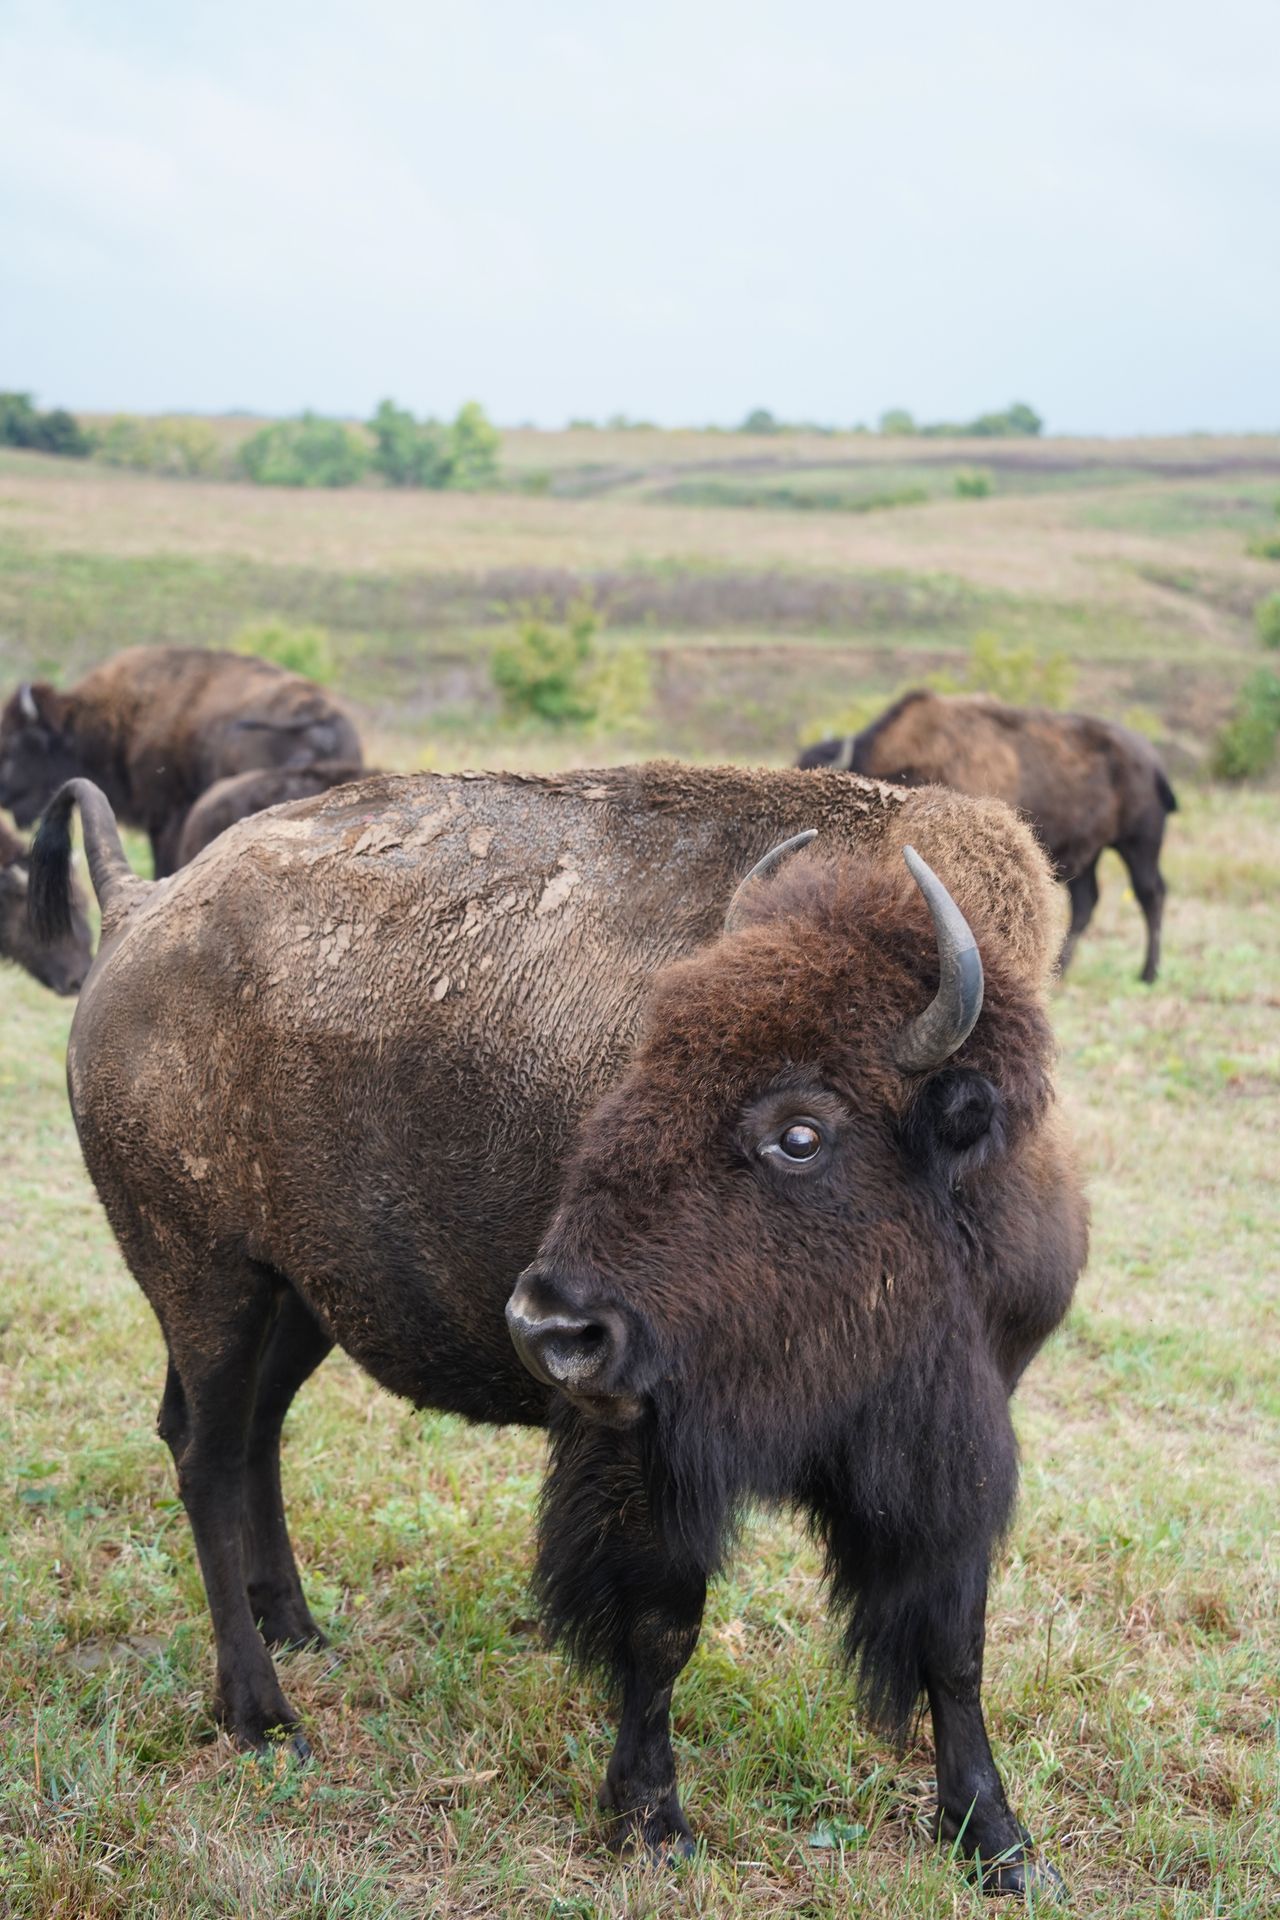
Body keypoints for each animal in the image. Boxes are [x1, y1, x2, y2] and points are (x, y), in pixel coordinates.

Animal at [30, 763, 1087, 1895]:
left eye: (800, 1133)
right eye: (642, 1068)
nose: (549, 1326)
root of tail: (139, 913)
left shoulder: (961, 1439)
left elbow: (955, 1641)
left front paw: (996, 1842)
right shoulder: (639, 1444)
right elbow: (662, 1625)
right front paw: (651, 1822)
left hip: (299, 1298)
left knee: (253, 1438)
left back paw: (301, 1629)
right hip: (209, 1286)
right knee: (207, 1460)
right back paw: (265, 1718)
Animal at [798, 690, 1178, 981]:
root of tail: (1154, 762)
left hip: (1139, 844)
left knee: (1150, 893)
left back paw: (1148, 973)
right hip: (1090, 855)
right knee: (1087, 902)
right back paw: (1061, 972)